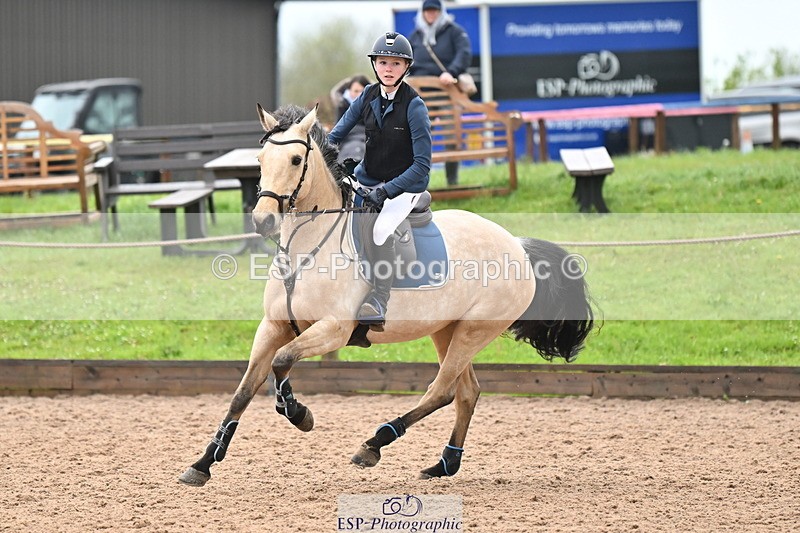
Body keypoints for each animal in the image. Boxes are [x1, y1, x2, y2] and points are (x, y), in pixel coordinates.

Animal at [179, 103, 594, 486]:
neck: (306, 248)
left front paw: (298, 413)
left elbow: (282, 363)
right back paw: (444, 464)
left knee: (442, 389)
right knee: (466, 392)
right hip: (447, 329)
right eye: (260, 160)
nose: (263, 220)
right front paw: (203, 463)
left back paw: (374, 444)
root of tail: (518, 245)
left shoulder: (333, 329)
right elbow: (244, 391)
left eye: (296, 160)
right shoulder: (273, 326)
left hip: (474, 330)